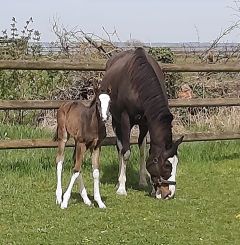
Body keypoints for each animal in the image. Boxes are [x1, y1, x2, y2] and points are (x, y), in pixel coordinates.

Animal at [100, 47, 183, 199]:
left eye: (176, 163)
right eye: (167, 166)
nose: (169, 193)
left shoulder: (146, 122)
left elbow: (144, 150)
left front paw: (147, 184)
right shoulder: (125, 119)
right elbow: (126, 152)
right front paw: (122, 188)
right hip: (116, 120)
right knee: (120, 147)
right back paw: (118, 181)